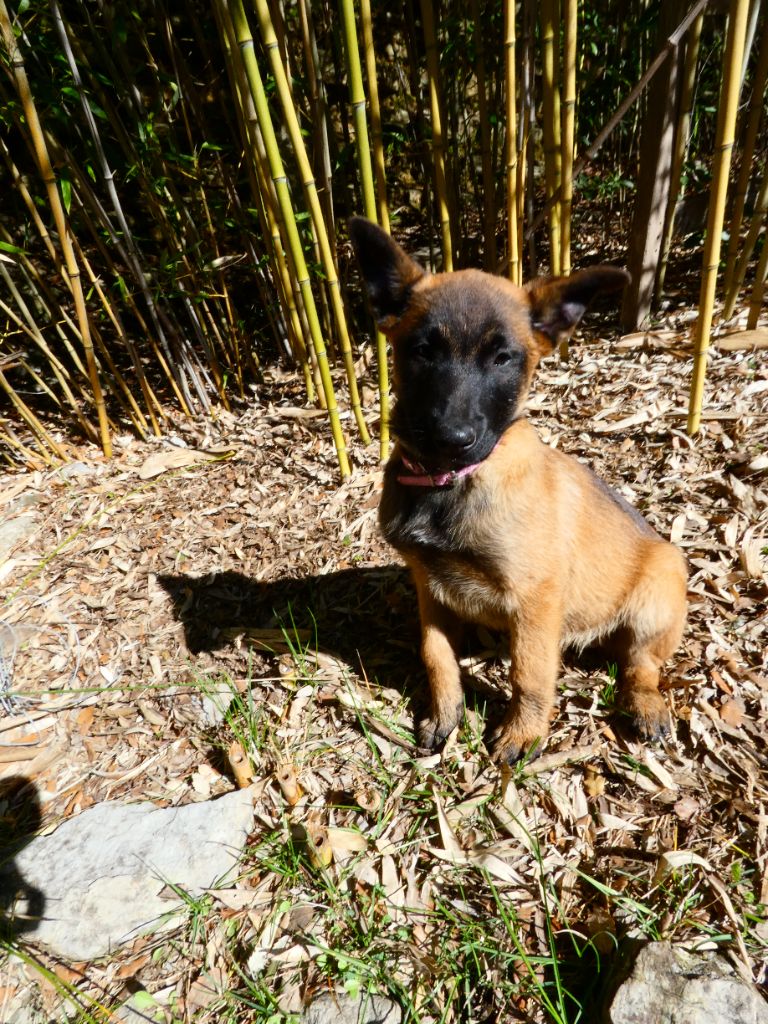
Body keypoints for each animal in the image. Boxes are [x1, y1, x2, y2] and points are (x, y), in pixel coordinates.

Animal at [352, 218, 688, 761]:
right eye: (423, 352)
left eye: (503, 359)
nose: (453, 438)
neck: (451, 482)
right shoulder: (430, 588)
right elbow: (435, 655)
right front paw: (446, 712)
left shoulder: (535, 599)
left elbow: (528, 673)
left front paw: (522, 733)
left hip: (660, 588)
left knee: (642, 664)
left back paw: (645, 704)